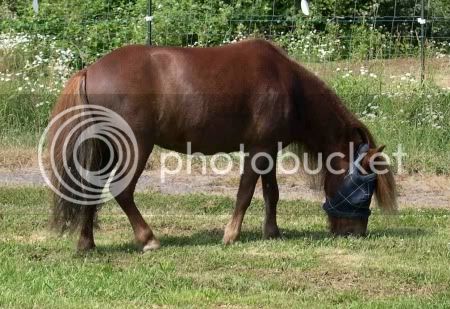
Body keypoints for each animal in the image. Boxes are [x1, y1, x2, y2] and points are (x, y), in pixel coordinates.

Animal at [47, 38, 396, 250]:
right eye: (365, 187)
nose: (355, 232)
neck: (289, 86)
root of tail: (89, 70)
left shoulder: (268, 150)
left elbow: (271, 193)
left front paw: (272, 232)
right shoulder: (257, 150)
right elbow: (245, 193)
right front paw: (231, 235)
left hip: (105, 148)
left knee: (91, 190)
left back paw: (86, 243)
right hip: (135, 147)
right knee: (122, 191)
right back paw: (148, 239)